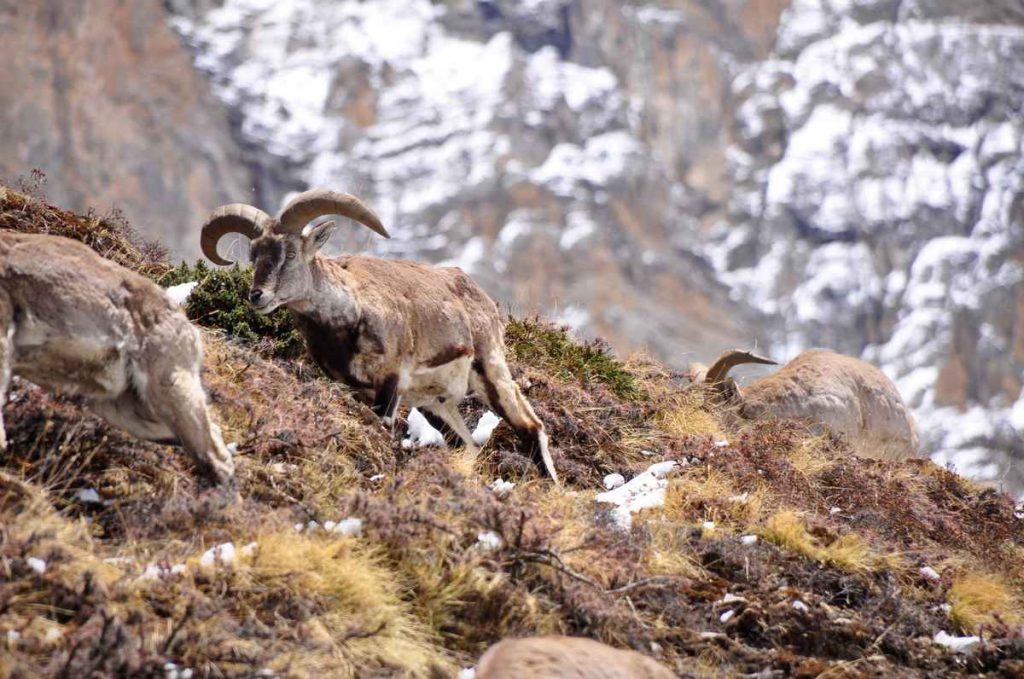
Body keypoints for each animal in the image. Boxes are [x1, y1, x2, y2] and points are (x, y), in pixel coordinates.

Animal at [199, 189, 559, 484]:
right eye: (254, 254)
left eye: (289, 253)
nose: (257, 296)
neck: (349, 313)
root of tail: (480, 296)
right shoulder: (354, 387)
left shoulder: (390, 380)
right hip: (435, 403)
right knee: (467, 445)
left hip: (489, 370)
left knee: (531, 428)